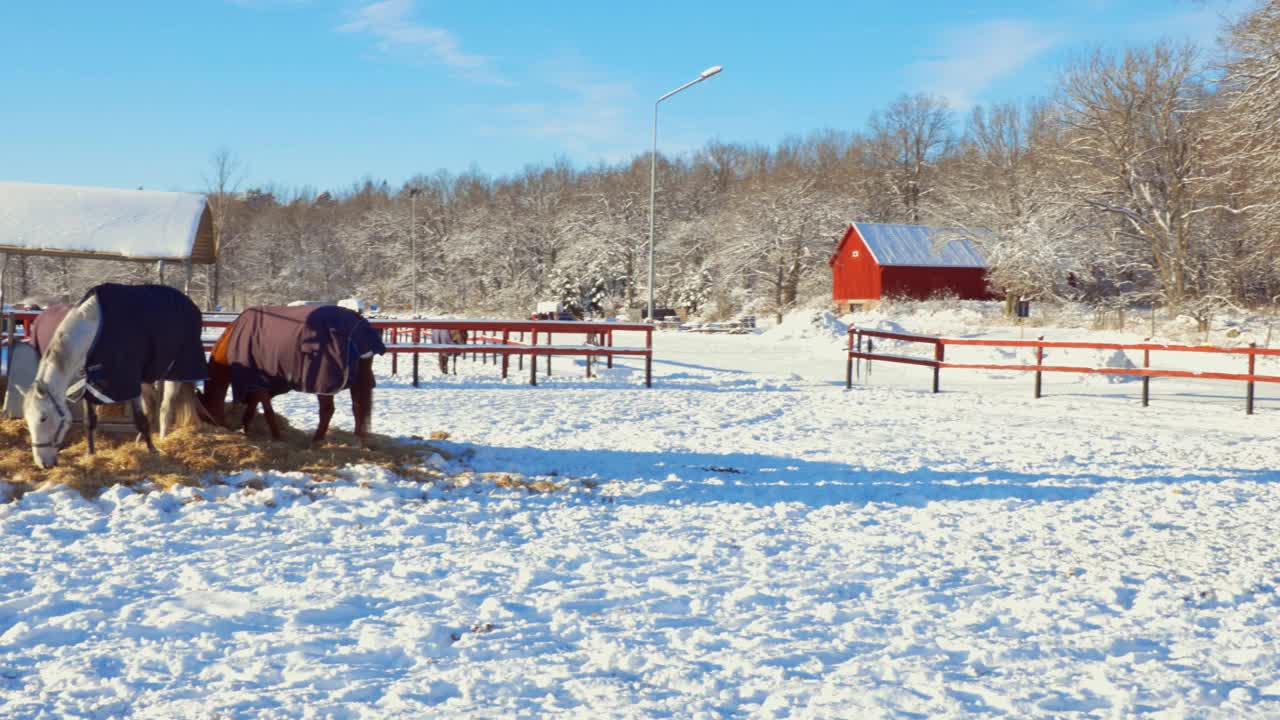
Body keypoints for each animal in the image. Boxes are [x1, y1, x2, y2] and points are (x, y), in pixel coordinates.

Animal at [23, 280, 207, 466]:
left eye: (43, 418)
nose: (42, 463)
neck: (94, 332)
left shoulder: (127, 382)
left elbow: (139, 418)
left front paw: (153, 451)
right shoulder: (90, 385)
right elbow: (90, 421)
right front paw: (90, 453)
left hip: (174, 374)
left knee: (165, 408)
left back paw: (162, 440)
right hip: (146, 379)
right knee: (153, 404)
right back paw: (141, 439)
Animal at [199, 302, 384, 443]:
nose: (221, 428)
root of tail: (356, 320)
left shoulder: (258, 382)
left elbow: (266, 409)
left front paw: (275, 436)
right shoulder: (259, 384)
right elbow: (253, 406)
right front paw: (246, 429)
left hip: (323, 383)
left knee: (327, 410)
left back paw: (316, 442)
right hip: (358, 380)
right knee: (358, 408)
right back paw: (358, 441)